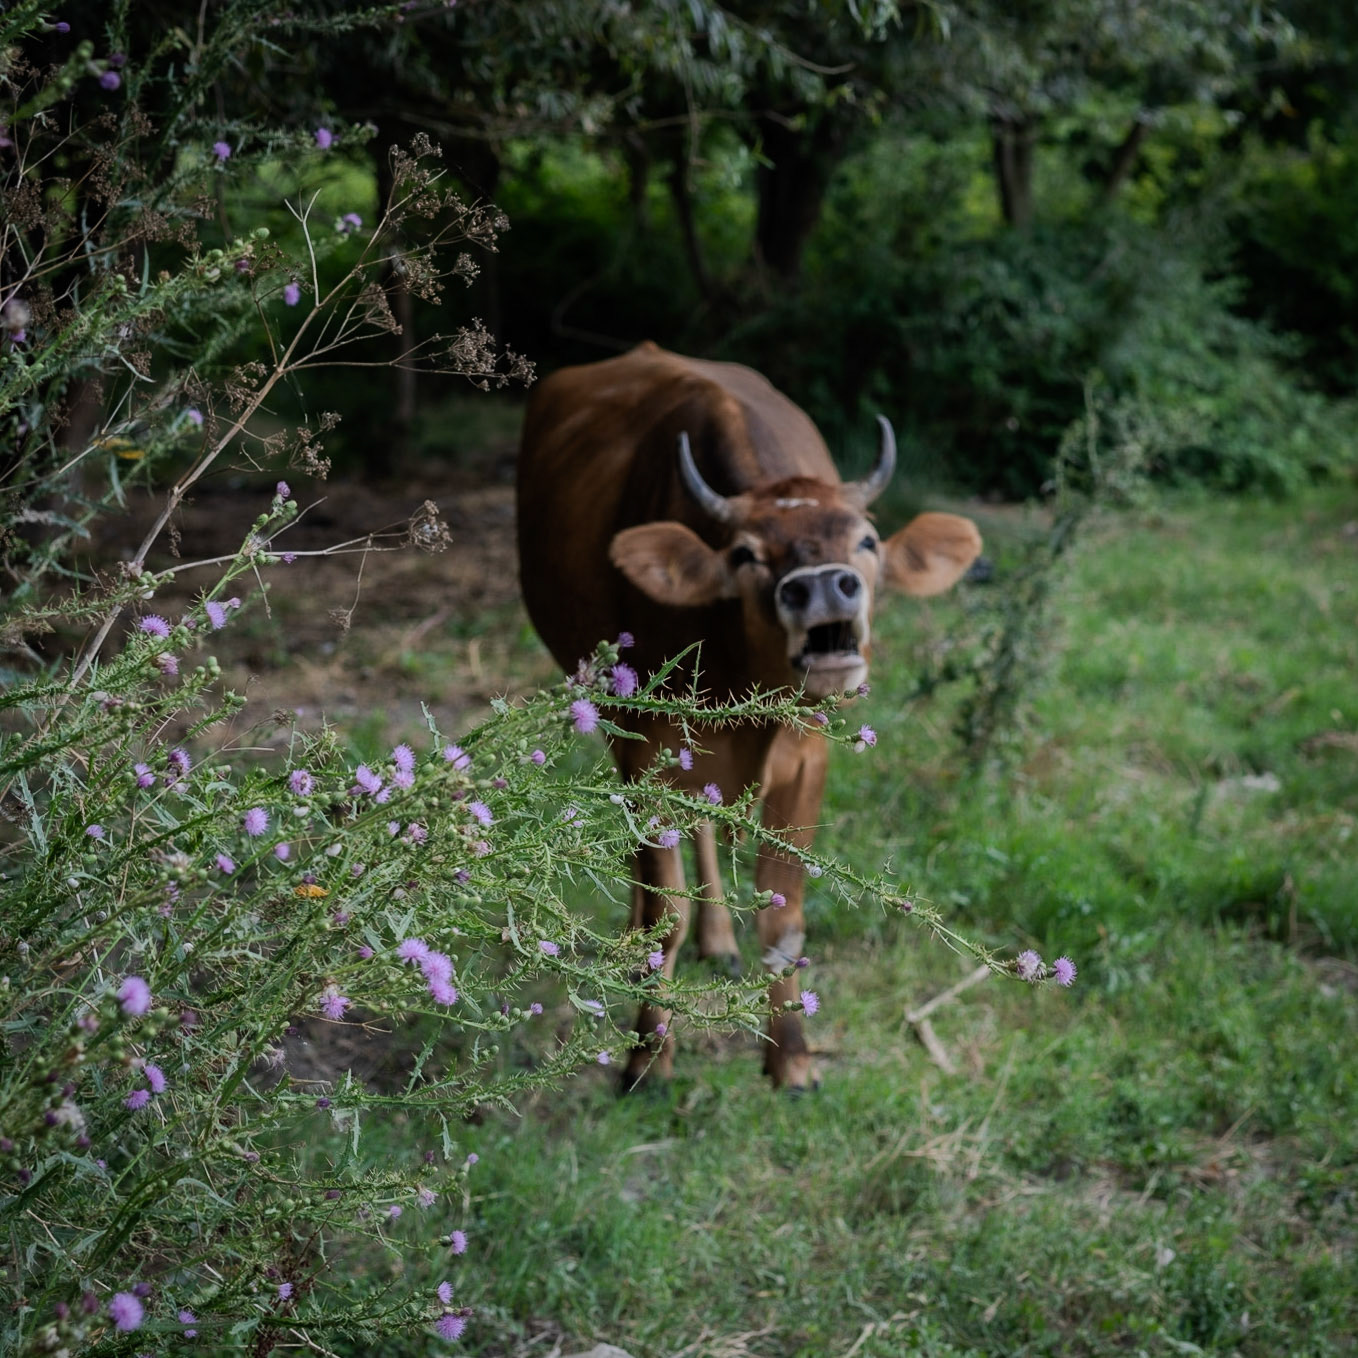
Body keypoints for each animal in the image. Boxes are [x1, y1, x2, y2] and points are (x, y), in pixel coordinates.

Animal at [516, 342, 981, 1091]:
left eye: (867, 542)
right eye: (744, 554)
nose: (823, 586)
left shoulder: (806, 755)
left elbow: (783, 921)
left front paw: (791, 1056)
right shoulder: (648, 746)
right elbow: (666, 910)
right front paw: (649, 1055)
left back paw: (718, 939)